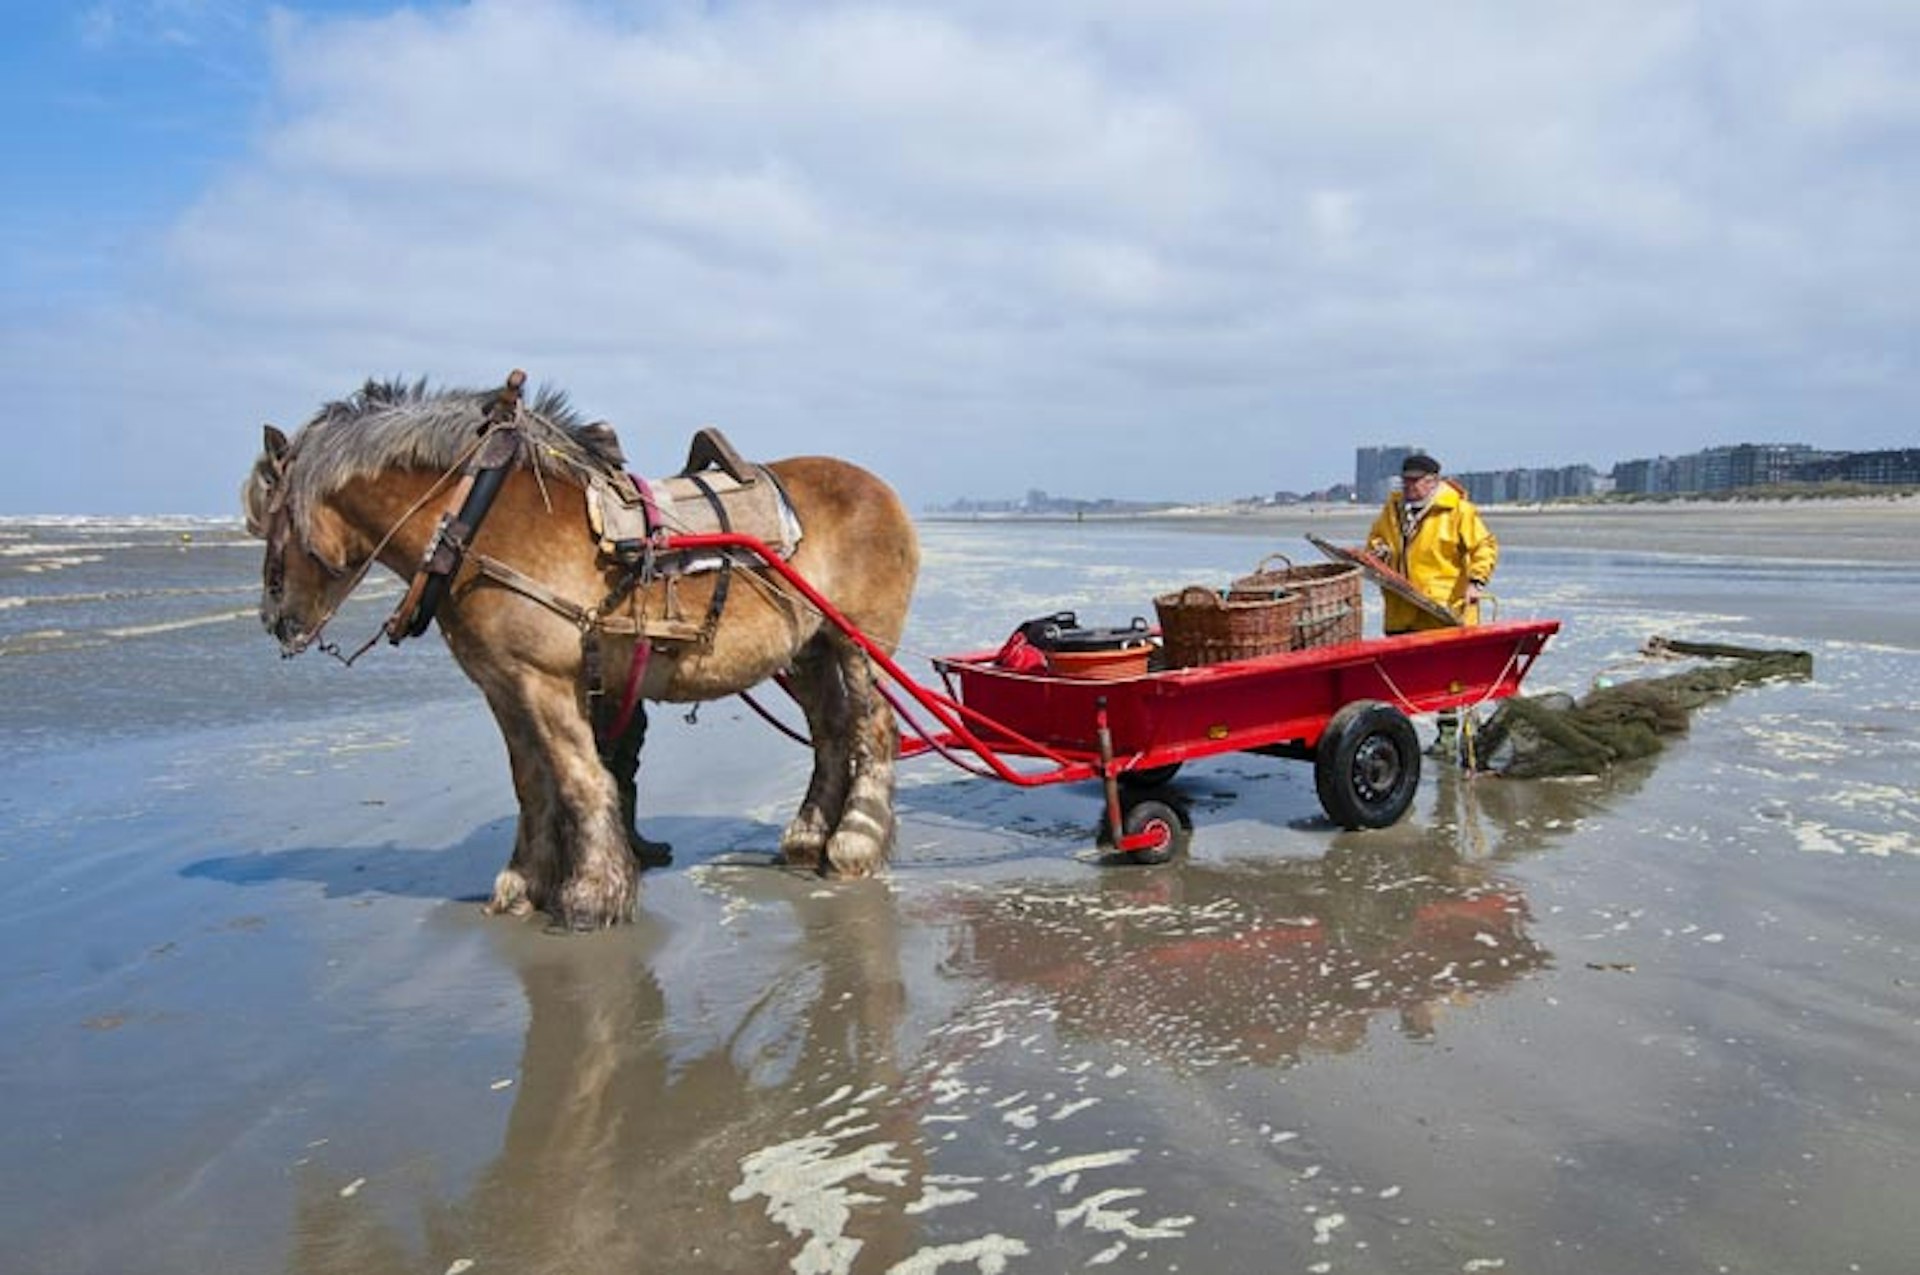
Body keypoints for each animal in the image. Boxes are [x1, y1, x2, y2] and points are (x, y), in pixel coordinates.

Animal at [241, 376, 921, 925]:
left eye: (270, 518)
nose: (275, 619)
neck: (479, 520)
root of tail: (883, 489)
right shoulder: (504, 685)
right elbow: (532, 783)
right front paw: (523, 884)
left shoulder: (545, 679)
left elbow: (579, 778)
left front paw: (593, 894)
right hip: (808, 649)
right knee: (831, 732)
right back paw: (807, 838)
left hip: (860, 640)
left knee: (874, 730)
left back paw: (853, 844)